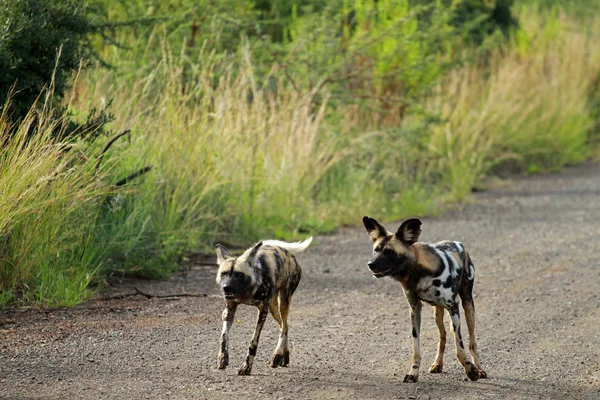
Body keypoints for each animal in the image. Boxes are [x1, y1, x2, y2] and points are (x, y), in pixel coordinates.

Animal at [213, 236, 312, 374]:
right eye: (223, 273)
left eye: (239, 274)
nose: (226, 287)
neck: (247, 291)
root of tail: (287, 253)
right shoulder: (229, 310)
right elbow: (224, 337)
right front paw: (222, 358)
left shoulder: (262, 311)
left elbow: (253, 342)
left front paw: (246, 367)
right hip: (273, 308)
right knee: (284, 326)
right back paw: (283, 355)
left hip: (283, 303)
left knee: (284, 326)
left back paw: (277, 355)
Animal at [360, 217, 488, 382]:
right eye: (376, 250)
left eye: (389, 252)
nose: (370, 264)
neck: (417, 274)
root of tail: (457, 243)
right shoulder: (415, 309)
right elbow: (416, 349)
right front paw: (413, 373)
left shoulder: (453, 307)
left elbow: (459, 346)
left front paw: (471, 370)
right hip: (437, 314)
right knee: (442, 337)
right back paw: (437, 364)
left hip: (468, 307)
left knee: (472, 342)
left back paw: (479, 368)